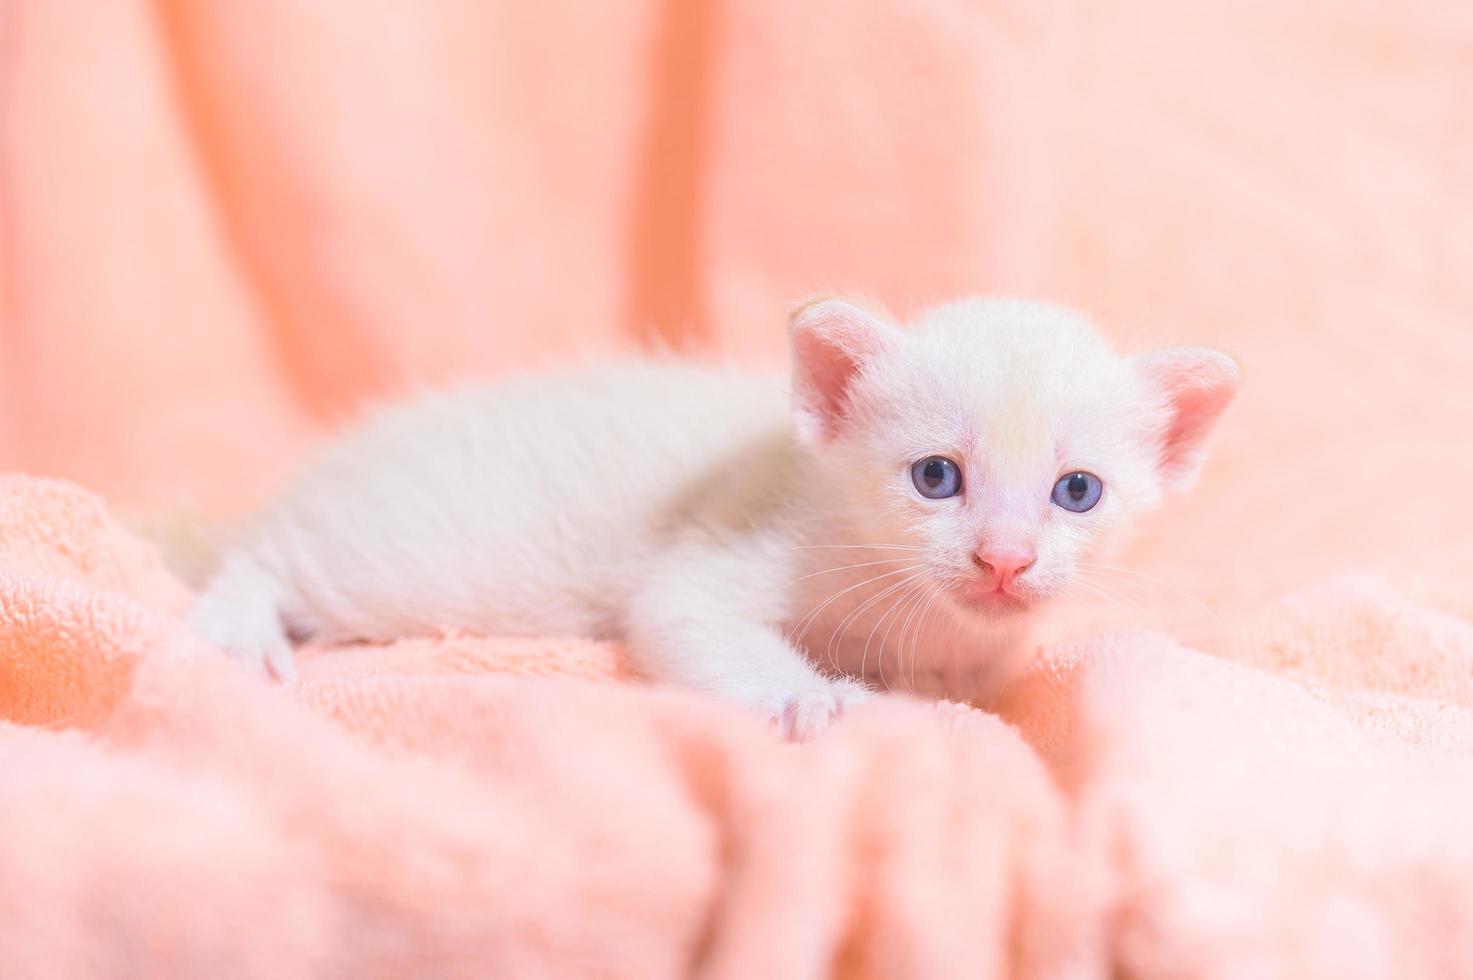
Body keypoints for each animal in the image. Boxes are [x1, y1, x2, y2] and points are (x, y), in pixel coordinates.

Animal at [190, 296, 1237, 733]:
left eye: (1077, 491)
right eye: (936, 477)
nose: (1006, 560)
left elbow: (971, 671)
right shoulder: (726, 541)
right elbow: (685, 617)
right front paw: (810, 696)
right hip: (404, 559)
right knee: (260, 556)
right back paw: (238, 628)